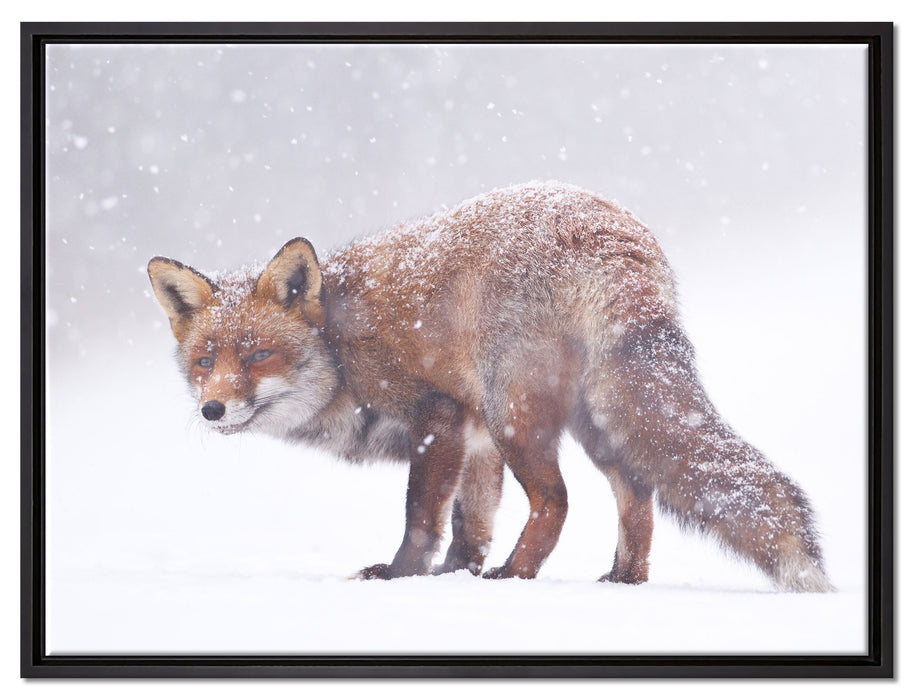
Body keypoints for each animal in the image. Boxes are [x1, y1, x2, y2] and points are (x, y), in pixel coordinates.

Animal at [148, 180, 832, 592]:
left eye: (259, 354)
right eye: (205, 360)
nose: (213, 408)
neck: (340, 347)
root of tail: (609, 229)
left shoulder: (441, 416)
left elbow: (422, 517)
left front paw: (402, 578)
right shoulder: (474, 440)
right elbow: (469, 523)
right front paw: (458, 576)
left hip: (516, 415)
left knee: (557, 502)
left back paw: (516, 577)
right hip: (593, 421)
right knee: (637, 496)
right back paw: (621, 580)